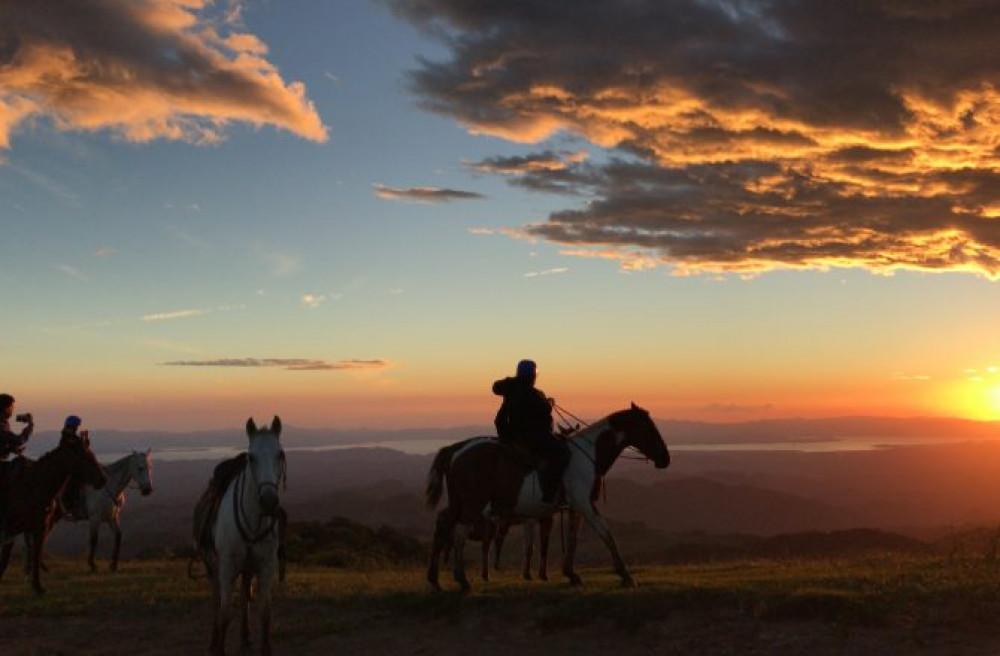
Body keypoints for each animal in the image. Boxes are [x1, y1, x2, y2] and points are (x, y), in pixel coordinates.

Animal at [0, 436, 107, 596]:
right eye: (84, 456)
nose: (102, 479)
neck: (35, 487)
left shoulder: (40, 529)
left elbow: (37, 555)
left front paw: (38, 586)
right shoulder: (12, 529)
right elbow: (5, 560)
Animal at [205, 418, 286, 656]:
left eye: (280, 454)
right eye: (251, 457)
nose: (268, 501)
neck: (252, 521)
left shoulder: (266, 565)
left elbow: (265, 610)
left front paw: (265, 648)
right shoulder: (227, 567)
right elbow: (223, 613)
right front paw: (219, 649)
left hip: (247, 568)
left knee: (243, 599)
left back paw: (245, 635)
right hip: (212, 567)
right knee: (216, 602)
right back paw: (213, 641)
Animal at [424, 402, 668, 592]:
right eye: (649, 428)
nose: (665, 458)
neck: (587, 455)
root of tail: (456, 450)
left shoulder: (574, 508)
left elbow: (573, 539)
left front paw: (571, 574)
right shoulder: (585, 504)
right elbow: (606, 534)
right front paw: (625, 575)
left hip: (460, 503)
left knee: (445, 531)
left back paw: (436, 580)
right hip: (472, 504)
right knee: (458, 534)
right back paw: (462, 580)